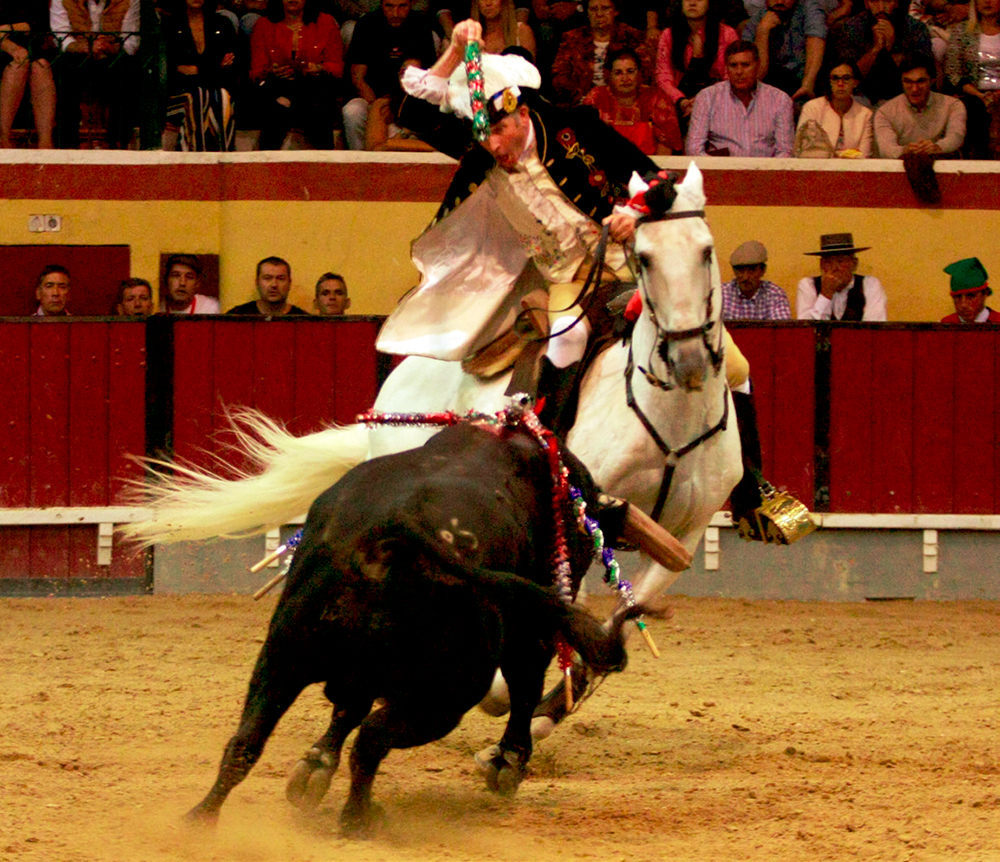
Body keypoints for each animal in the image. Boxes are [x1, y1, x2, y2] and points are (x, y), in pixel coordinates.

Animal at [125, 160, 742, 737]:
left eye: (706, 251)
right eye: (644, 258)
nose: (688, 358)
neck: (670, 418)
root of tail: (399, 382)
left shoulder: (684, 534)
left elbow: (625, 614)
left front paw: (546, 710)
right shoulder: (575, 517)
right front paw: (507, 698)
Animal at [185, 411, 662, 835]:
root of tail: (394, 530)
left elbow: (345, 710)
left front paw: (313, 769)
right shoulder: (530, 631)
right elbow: (524, 687)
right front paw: (507, 764)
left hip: (283, 653)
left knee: (247, 742)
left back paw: (200, 819)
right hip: (449, 691)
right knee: (372, 740)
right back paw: (359, 819)